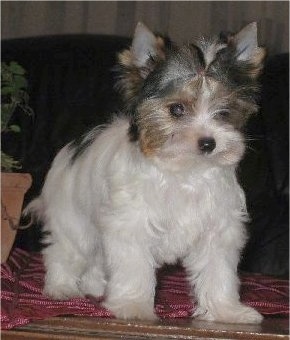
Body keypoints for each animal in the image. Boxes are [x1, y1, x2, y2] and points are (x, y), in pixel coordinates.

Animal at [24, 22, 266, 322]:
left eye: (224, 112)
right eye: (177, 109)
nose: (208, 143)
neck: (185, 171)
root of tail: (72, 146)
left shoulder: (217, 228)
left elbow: (217, 269)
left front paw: (226, 311)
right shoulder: (131, 224)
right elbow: (133, 267)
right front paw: (134, 306)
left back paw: (95, 286)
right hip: (73, 217)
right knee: (66, 250)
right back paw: (62, 287)